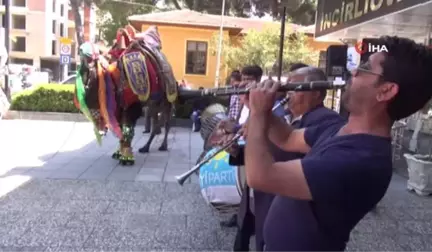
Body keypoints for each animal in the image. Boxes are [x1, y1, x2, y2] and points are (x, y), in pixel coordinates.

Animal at [74, 24, 177, 165]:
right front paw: (118, 153)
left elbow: (127, 128)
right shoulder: (118, 106)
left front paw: (127, 158)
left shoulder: (132, 104)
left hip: (167, 99)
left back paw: (161, 146)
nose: (81, 49)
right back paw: (146, 147)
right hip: (154, 103)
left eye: (92, 57)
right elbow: (121, 128)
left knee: (166, 123)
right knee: (157, 121)